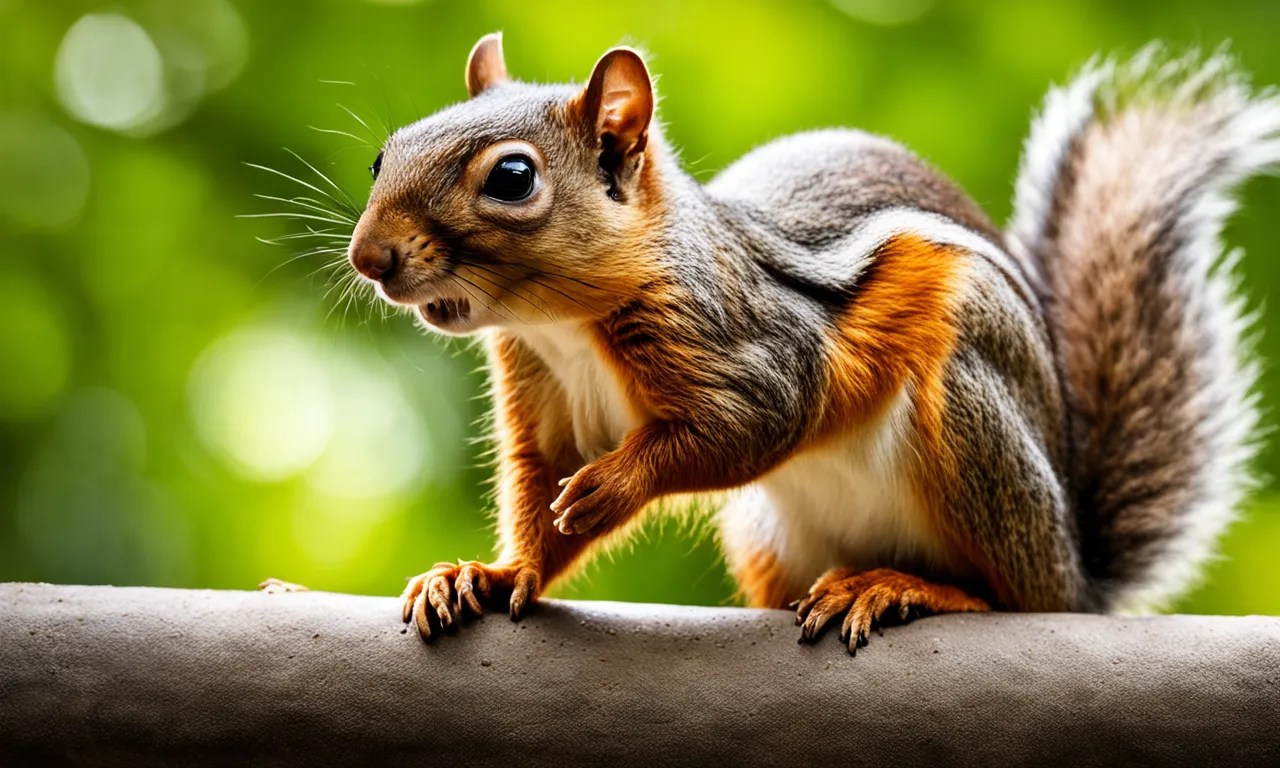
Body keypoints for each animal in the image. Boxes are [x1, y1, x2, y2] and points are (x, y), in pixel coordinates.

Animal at [346, 34, 1274, 652]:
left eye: (513, 178)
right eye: (385, 156)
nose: (369, 258)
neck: (562, 324)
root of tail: (1077, 570)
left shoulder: (759, 348)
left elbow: (748, 426)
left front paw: (615, 486)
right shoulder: (544, 399)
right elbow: (543, 502)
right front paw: (494, 576)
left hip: (975, 420)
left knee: (1012, 597)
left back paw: (901, 586)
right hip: (772, 532)